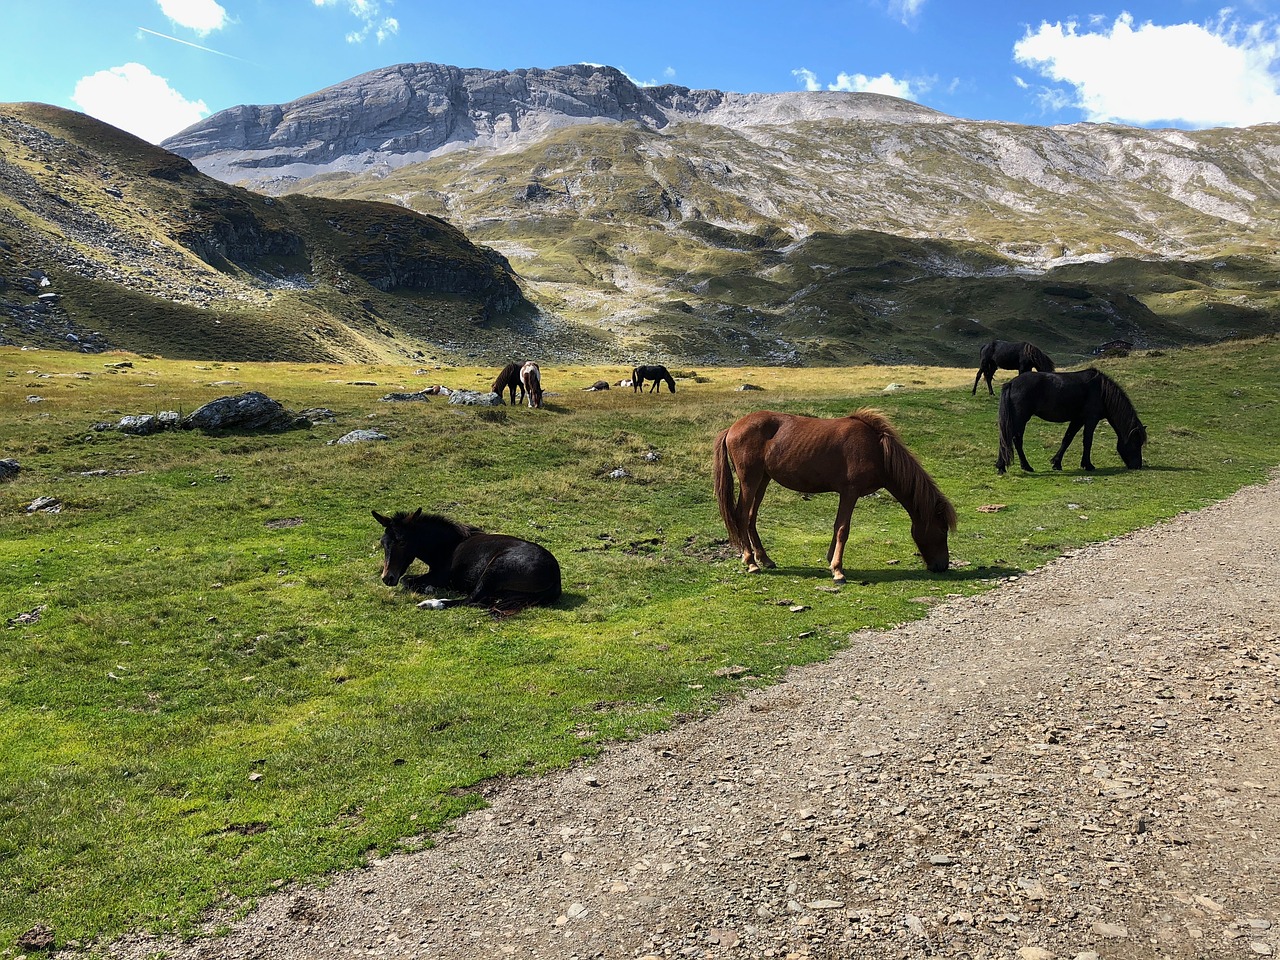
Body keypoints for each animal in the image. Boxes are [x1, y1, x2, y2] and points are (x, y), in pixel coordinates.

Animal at [373, 506, 565, 611]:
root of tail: (555, 576)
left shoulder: (439, 576)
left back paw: (431, 603)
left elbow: (406, 580)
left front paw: (428, 589)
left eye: (402, 542)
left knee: (471, 600)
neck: (449, 546)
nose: (387, 578)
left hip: (493, 572)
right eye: (383, 542)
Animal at [716, 409, 957, 583]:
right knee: (741, 516)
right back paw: (751, 562)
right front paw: (838, 571)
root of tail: (732, 428)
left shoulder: (846, 494)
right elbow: (843, 529)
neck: (877, 450)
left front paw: (831, 560)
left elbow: (836, 527)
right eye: (942, 530)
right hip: (750, 480)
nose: (942, 566)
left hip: (763, 480)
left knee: (751, 517)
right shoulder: (850, 492)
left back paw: (764, 559)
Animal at [993, 368, 1146, 473]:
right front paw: (1088, 465)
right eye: (1135, 443)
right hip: (1020, 419)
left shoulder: (1078, 419)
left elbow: (1067, 439)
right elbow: (1087, 441)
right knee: (1013, 439)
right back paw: (1014, 466)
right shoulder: (1091, 419)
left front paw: (1056, 463)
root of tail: (1011, 383)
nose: (1138, 466)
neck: (1102, 391)